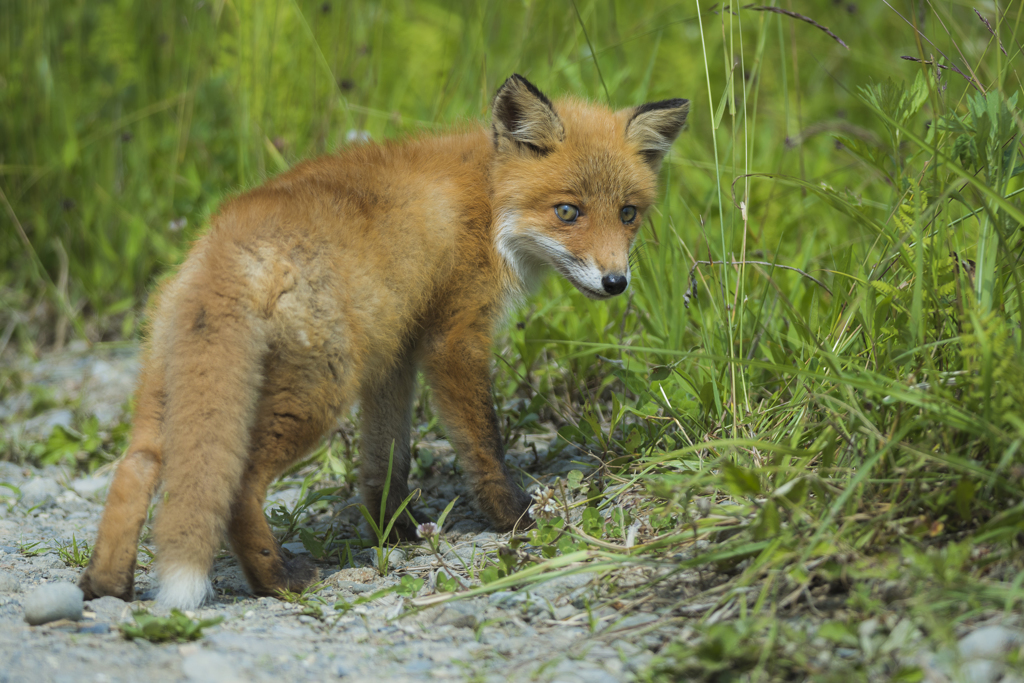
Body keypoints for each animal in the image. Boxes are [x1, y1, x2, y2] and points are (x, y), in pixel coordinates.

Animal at [75, 73, 692, 610]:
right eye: (568, 211)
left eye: (628, 214)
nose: (616, 283)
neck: (488, 200)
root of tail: (226, 242)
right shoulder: (454, 339)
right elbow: (484, 444)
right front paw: (511, 515)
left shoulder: (396, 354)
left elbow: (386, 458)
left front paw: (394, 530)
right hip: (315, 395)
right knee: (239, 487)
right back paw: (277, 580)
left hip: (178, 385)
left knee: (136, 466)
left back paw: (107, 585)